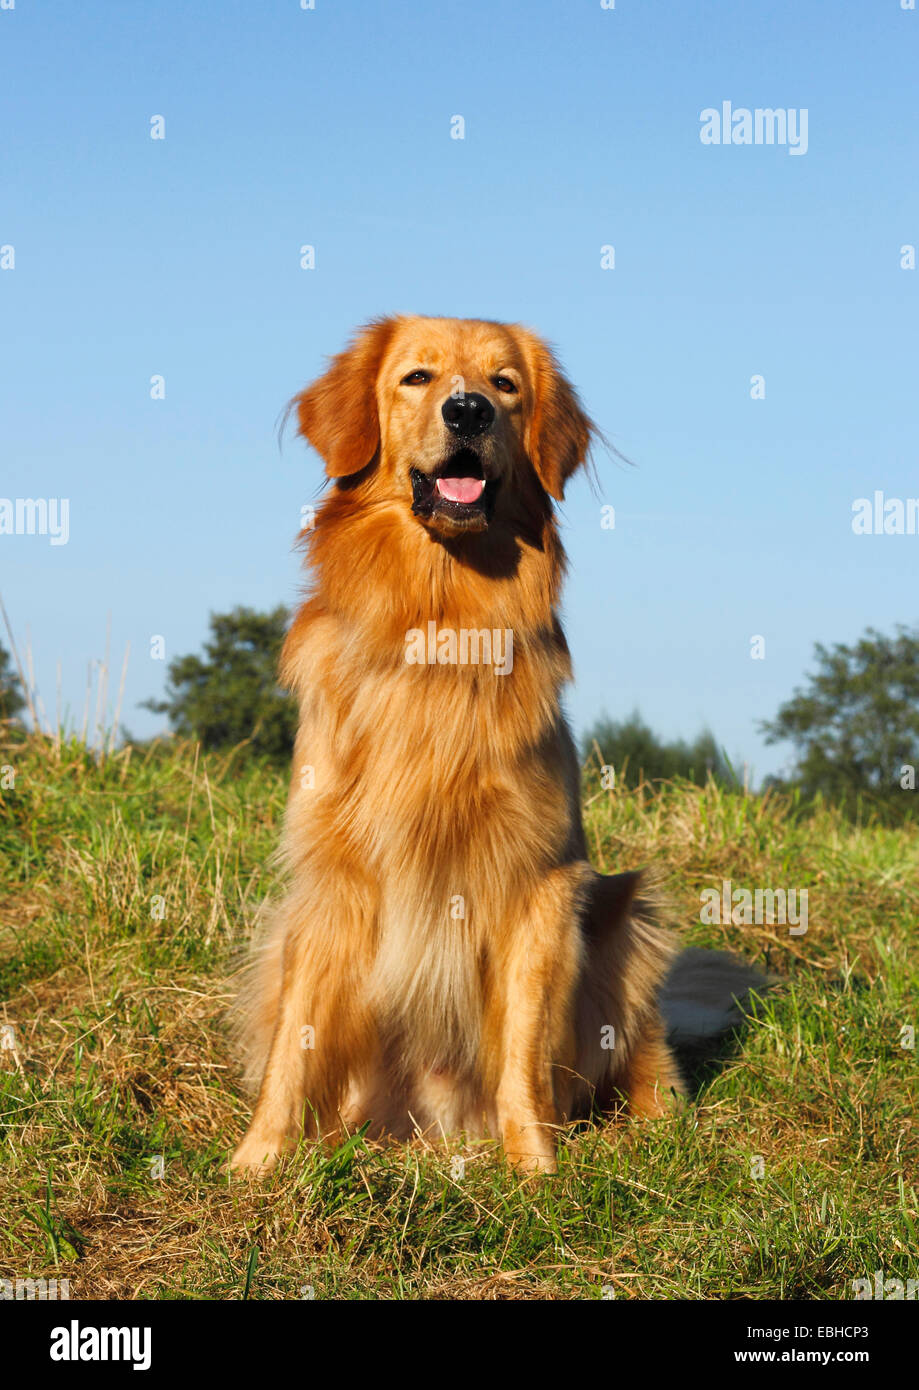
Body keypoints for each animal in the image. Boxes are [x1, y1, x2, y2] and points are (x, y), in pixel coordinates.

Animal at [230, 315, 761, 1173]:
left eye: (505, 385)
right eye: (416, 377)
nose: (468, 410)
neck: (441, 619)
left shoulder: (539, 879)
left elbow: (523, 1043)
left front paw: (536, 1169)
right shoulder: (329, 875)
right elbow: (295, 1039)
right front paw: (257, 1162)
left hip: (623, 915)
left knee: (642, 1054)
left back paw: (650, 1131)